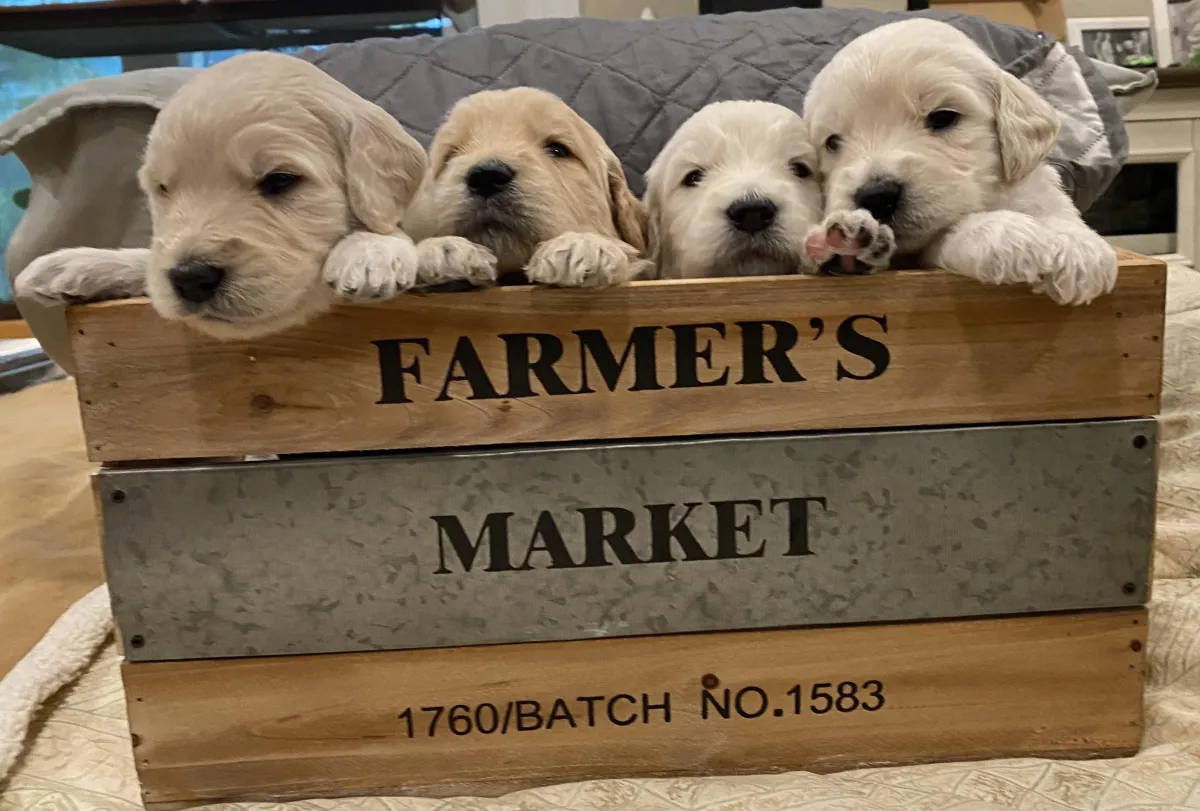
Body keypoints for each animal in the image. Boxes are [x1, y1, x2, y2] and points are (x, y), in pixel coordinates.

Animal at [16, 50, 427, 338]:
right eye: (163, 189)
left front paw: (371, 251)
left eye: (280, 180)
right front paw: (77, 264)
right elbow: (150, 259)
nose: (190, 278)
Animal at [801, 18, 1118, 304]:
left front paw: (1078, 248)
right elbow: (950, 230)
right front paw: (1005, 234)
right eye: (832, 142)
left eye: (943, 117)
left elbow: (1055, 209)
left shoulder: (1032, 184)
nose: (876, 196)